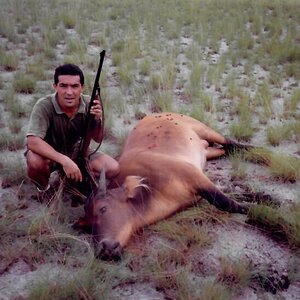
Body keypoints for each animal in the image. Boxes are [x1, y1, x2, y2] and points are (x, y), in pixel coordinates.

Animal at [75, 113, 251, 260]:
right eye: (88, 226)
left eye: (103, 208)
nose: (104, 249)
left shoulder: (194, 175)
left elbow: (225, 202)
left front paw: (251, 209)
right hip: (208, 150)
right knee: (227, 149)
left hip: (204, 129)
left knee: (229, 142)